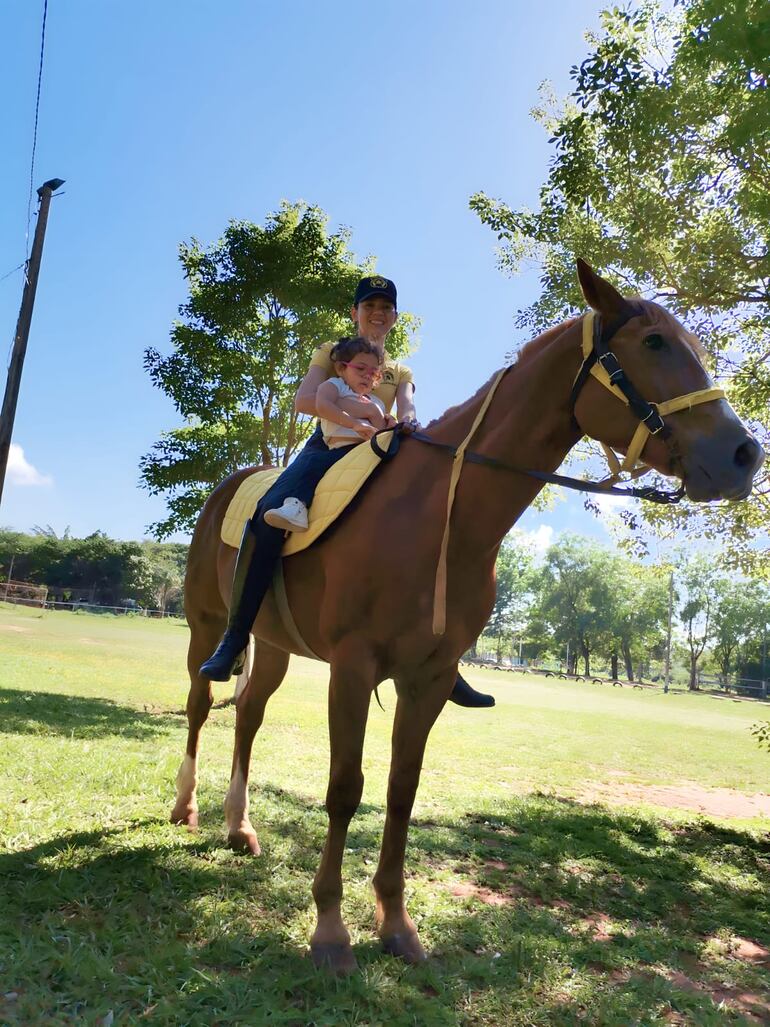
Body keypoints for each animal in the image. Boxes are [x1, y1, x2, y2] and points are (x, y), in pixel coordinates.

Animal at [170, 262, 767, 969]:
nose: (745, 455)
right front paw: (331, 932)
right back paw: (186, 809)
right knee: (202, 704)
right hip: (209, 625)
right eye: (653, 343)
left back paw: (239, 826)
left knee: (249, 715)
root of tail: (235, 484)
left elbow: (401, 790)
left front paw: (396, 925)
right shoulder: (353, 668)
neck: (438, 516)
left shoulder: (428, 677)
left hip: (277, 644)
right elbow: (345, 788)